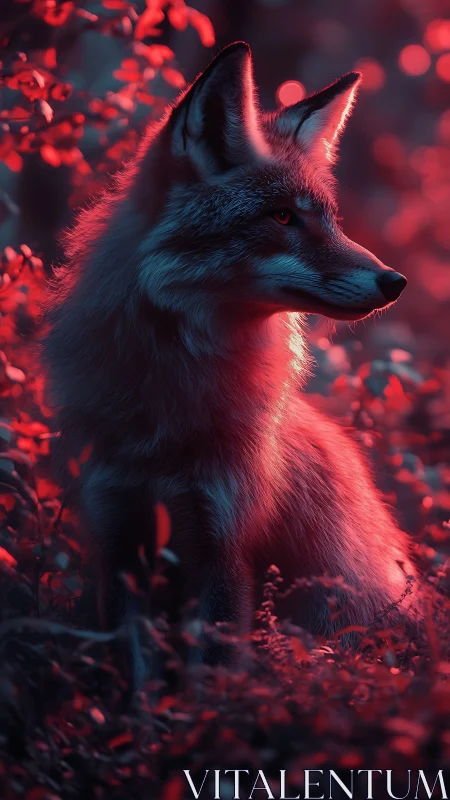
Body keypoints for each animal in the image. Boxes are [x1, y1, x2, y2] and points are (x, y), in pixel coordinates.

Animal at [42, 42, 421, 687]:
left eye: (329, 218)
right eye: (284, 218)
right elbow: (140, 689)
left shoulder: (223, 546)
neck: (169, 413)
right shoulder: (120, 543)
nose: (394, 282)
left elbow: (210, 687)